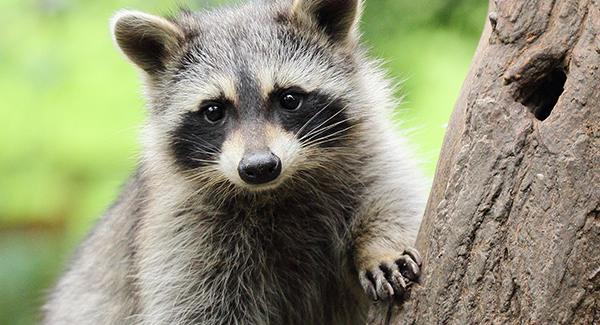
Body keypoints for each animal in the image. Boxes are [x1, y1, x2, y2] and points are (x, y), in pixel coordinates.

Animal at [42, 0, 426, 324]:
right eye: (214, 111)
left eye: (289, 99)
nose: (259, 167)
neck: (277, 189)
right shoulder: (182, 231)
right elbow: (195, 306)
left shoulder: (369, 154)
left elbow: (393, 197)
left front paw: (379, 245)